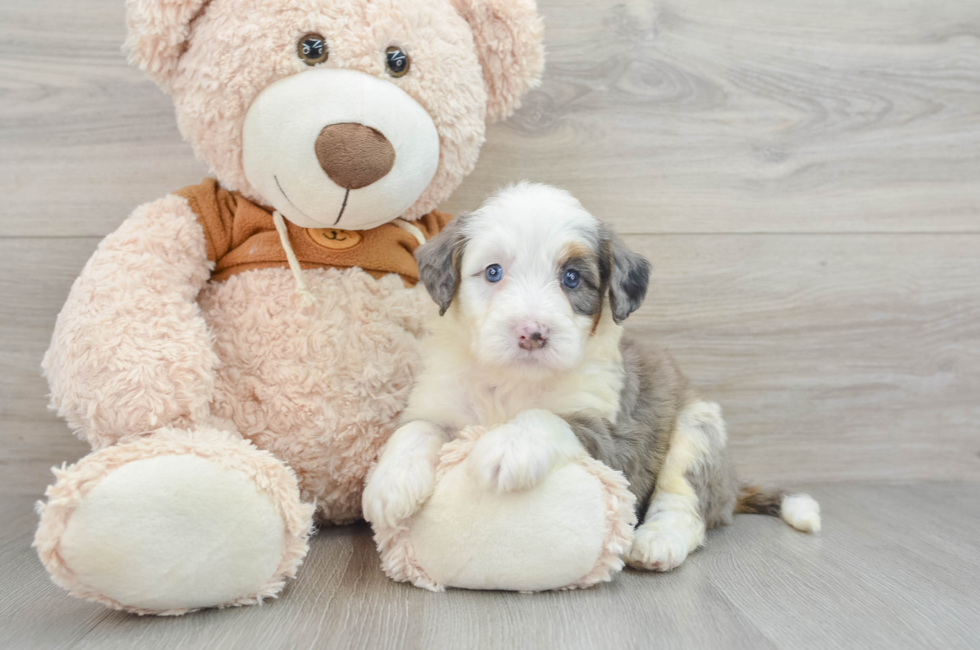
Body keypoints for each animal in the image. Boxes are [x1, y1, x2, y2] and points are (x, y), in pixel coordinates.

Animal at [362, 181, 820, 568]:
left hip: (699, 426)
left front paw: (508, 445)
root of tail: (731, 485)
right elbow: (414, 430)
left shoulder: (613, 435)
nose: (532, 334)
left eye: (571, 278)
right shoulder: (440, 401)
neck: (514, 381)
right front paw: (389, 484)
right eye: (493, 272)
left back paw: (658, 540)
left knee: (684, 503)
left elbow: (546, 416)